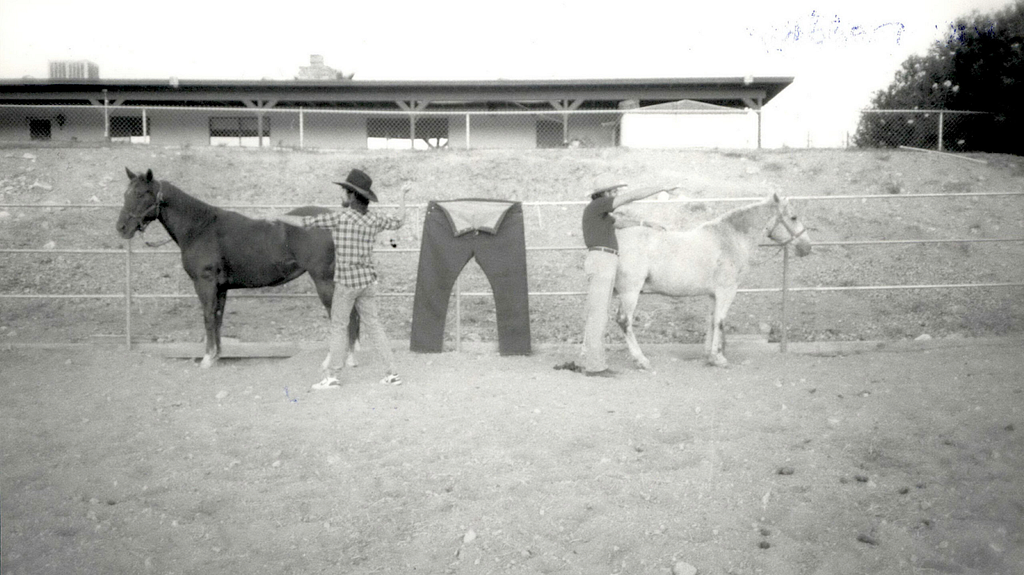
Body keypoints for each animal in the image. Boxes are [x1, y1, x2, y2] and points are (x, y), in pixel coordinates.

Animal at [113, 167, 356, 366]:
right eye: (126, 194)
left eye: (140, 194)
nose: (121, 228)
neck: (200, 227)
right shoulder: (220, 288)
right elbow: (218, 318)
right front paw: (217, 355)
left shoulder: (205, 283)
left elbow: (208, 316)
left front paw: (207, 358)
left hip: (324, 280)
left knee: (338, 315)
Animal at [610, 192, 811, 366]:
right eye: (793, 217)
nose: (807, 247)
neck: (730, 240)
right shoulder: (726, 291)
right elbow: (720, 321)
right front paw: (718, 358)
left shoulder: (713, 294)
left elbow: (711, 320)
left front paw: (708, 355)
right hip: (630, 292)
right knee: (624, 321)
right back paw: (641, 360)